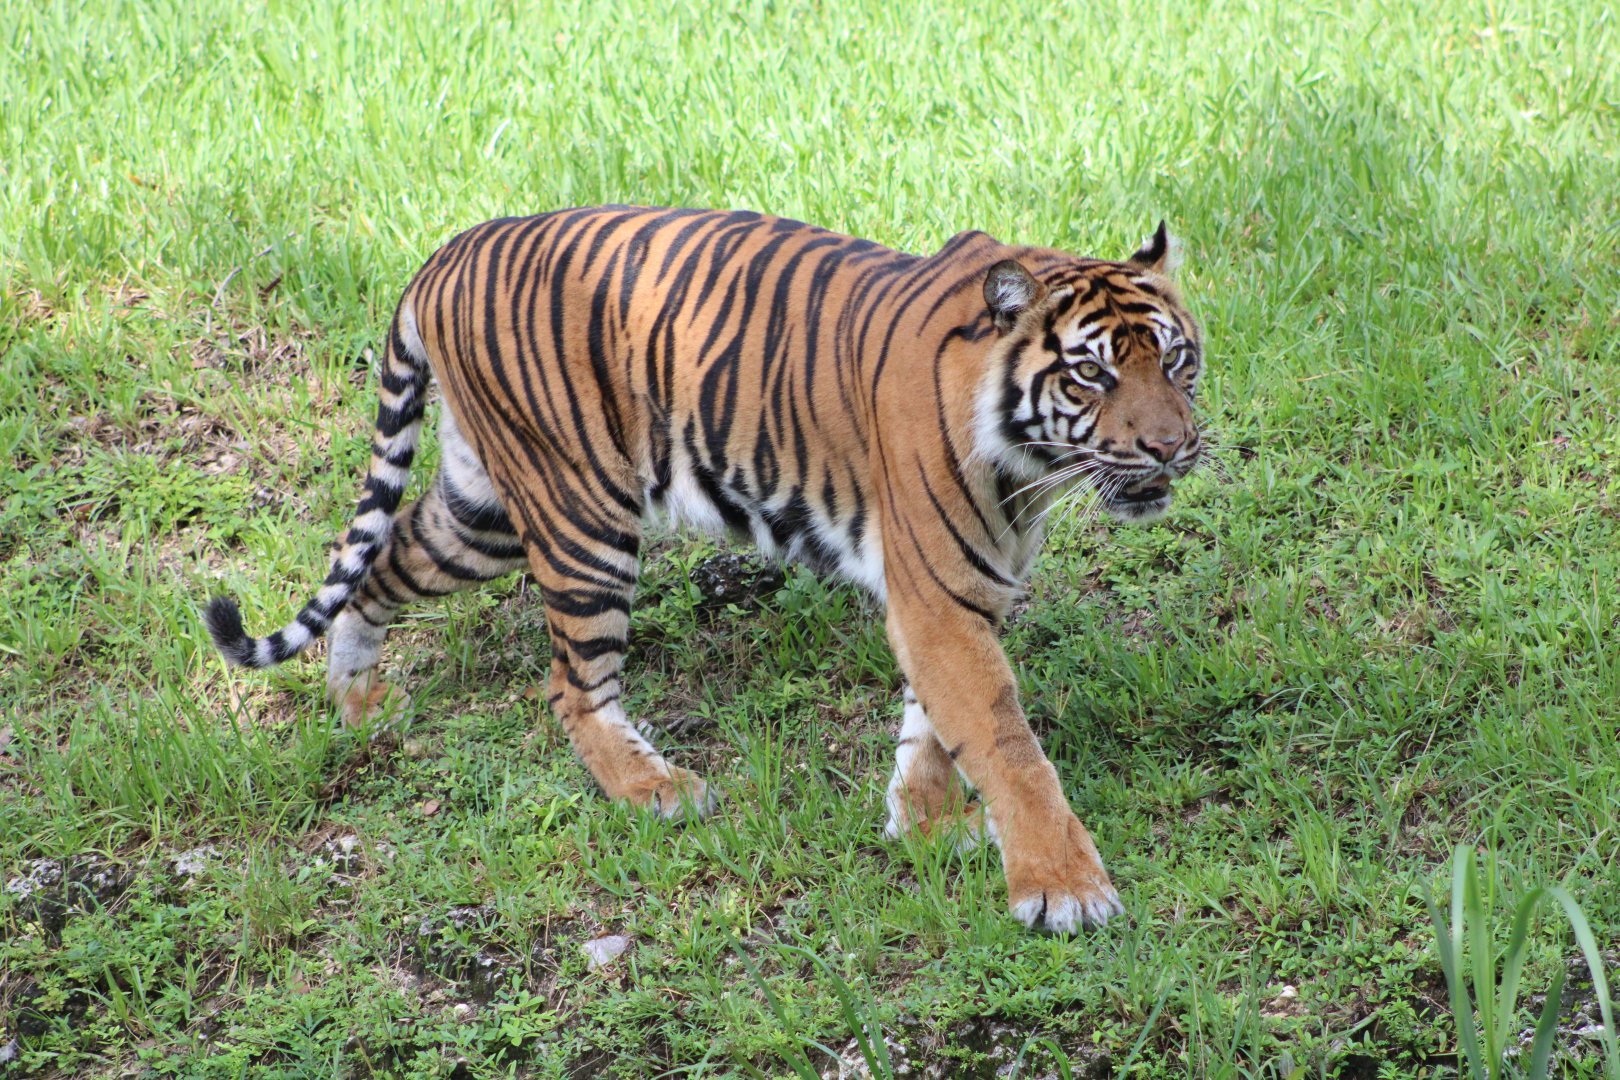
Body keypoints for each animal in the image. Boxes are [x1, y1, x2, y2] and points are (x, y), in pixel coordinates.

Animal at [205, 207, 1203, 933]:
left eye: (1177, 359)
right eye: (1091, 375)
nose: (1173, 446)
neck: (1029, 466)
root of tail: (443, 255)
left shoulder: (961, 594)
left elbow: (935, 726)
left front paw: (921, 825)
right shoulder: (939, 597)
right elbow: (1006, 742)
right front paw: (1062, 886)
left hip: (482, 509)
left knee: (382, 564)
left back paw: (359, 703)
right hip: (581, 514)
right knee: (572, 686)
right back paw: (655, 790)